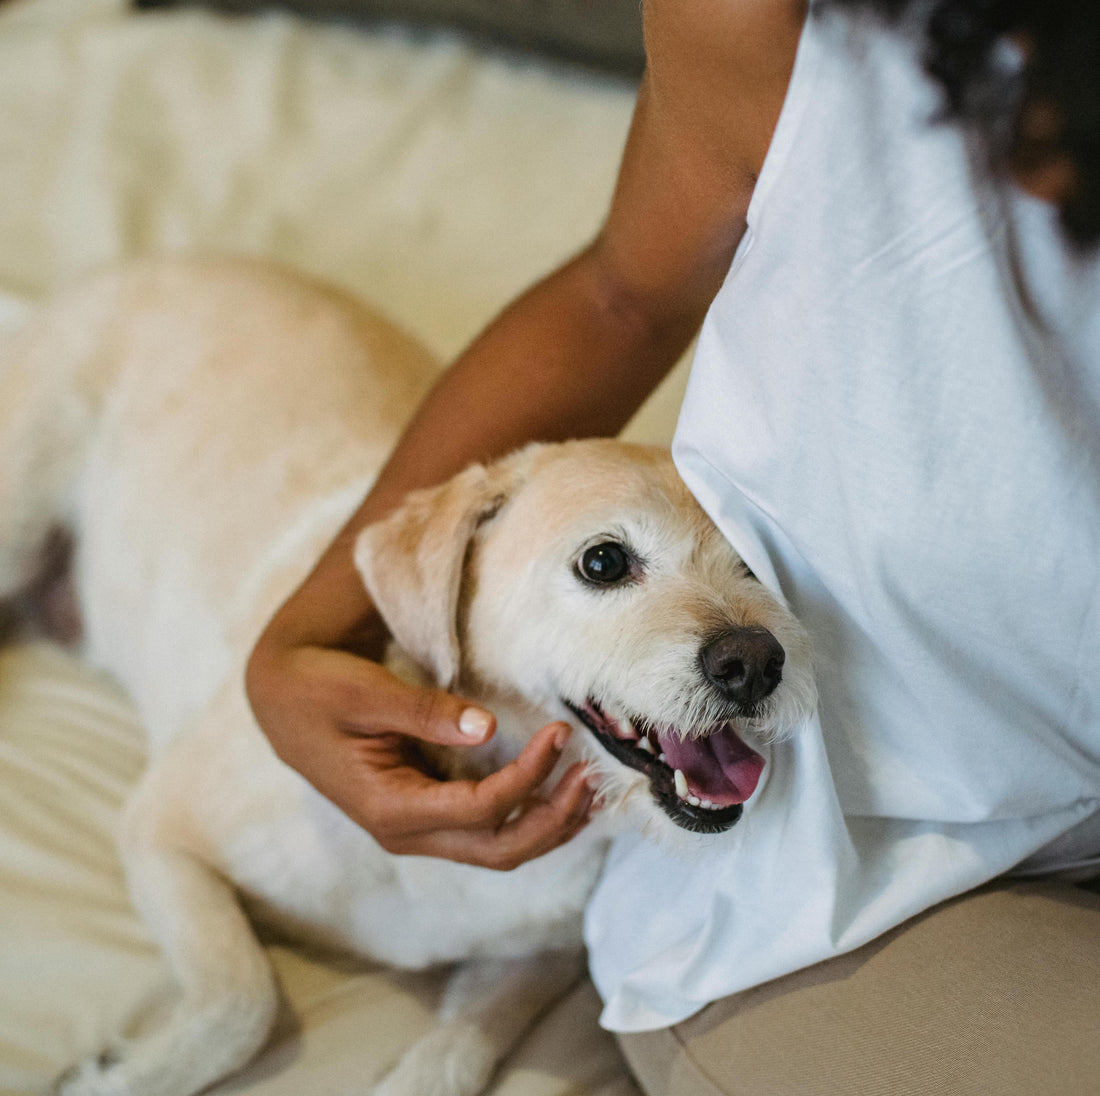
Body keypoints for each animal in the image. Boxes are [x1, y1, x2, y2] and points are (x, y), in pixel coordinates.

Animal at [0, 258, 809, 1096]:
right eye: (603, 561)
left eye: (755, 562)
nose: (755, 664)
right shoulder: (162, 826)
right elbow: (242, 998)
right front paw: (119, 1078)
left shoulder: (539, 957)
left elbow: (457, 1049)